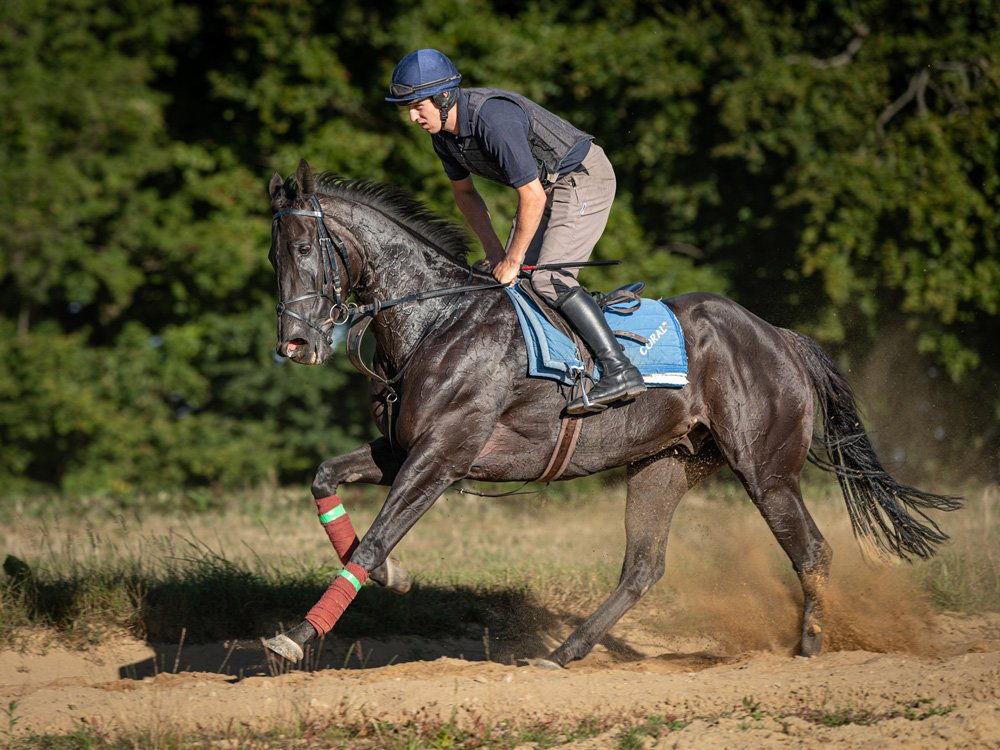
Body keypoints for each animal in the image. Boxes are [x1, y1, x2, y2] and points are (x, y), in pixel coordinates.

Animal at [264, 159, 960, 668]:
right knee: (643, 568)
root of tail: (779, 335)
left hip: (766, 469)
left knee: (811, 549)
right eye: (274, 256)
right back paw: (563, 653)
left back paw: (810, 648)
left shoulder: (442, 457)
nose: (294, 344)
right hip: (664, 463)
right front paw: (394, 577)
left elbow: (376, 539)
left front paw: (296, 637)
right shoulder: (405, 451)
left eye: (304, 247)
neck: (437, 319)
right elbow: (327, 481)